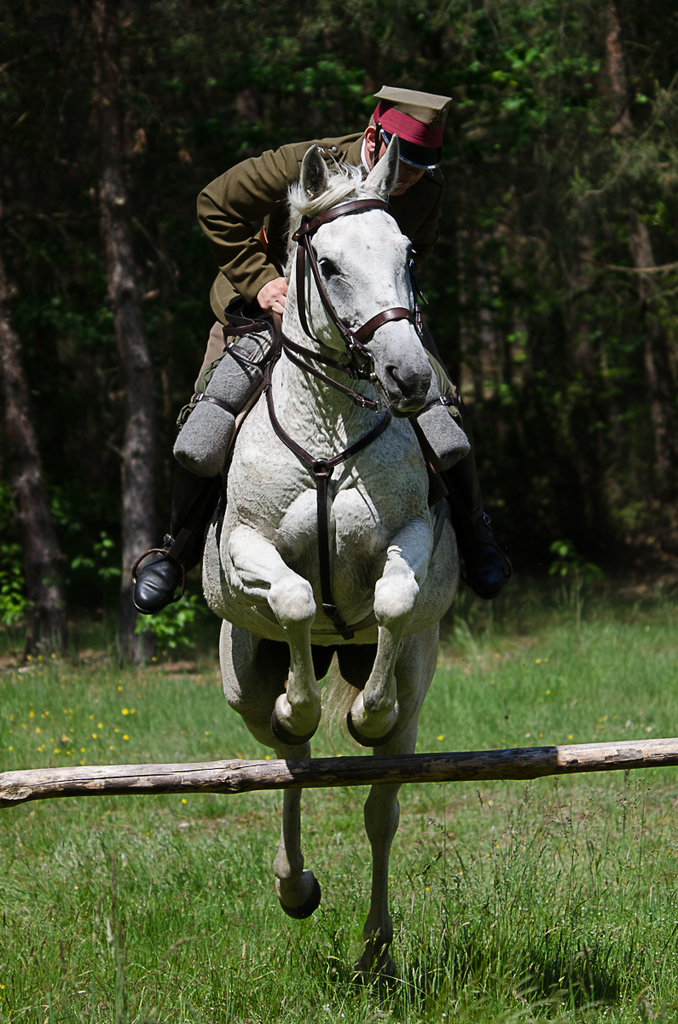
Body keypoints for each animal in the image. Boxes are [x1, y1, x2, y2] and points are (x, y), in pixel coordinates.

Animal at [199, 138, 471, 974]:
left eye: (408, 253)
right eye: (326, 263)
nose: (409, 376)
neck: (329, 428)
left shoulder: (411, 536)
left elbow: (391, 599)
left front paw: (365, 712)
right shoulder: (247, 548)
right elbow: (291, 598)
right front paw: (303, 702)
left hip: (417, 683)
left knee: (381, 804)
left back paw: (375, 945)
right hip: (242, 677)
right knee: (285, 754)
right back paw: (295, 883)